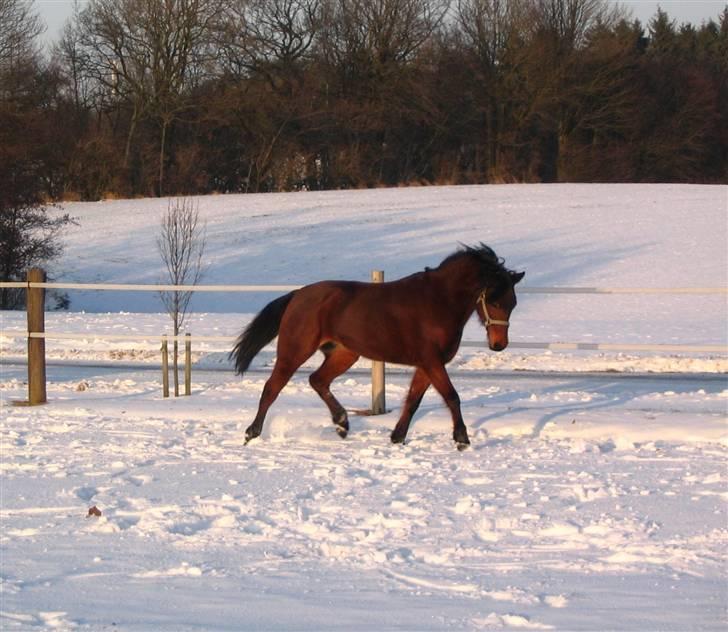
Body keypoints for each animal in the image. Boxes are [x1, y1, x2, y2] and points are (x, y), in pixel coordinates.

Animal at [233, 243, 524, 450]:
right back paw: (251, 433)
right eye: (494, 300)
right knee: (272, 387)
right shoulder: (431, 360)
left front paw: (397, 437)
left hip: (345, 354)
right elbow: (451, 396)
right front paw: (462, 439)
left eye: (512, 303)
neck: (438, 301)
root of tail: (298, 295)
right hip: (294, 351)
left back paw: (342, 423)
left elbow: (413, 401)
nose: (499, 345)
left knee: (318, 380)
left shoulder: (427, 363)